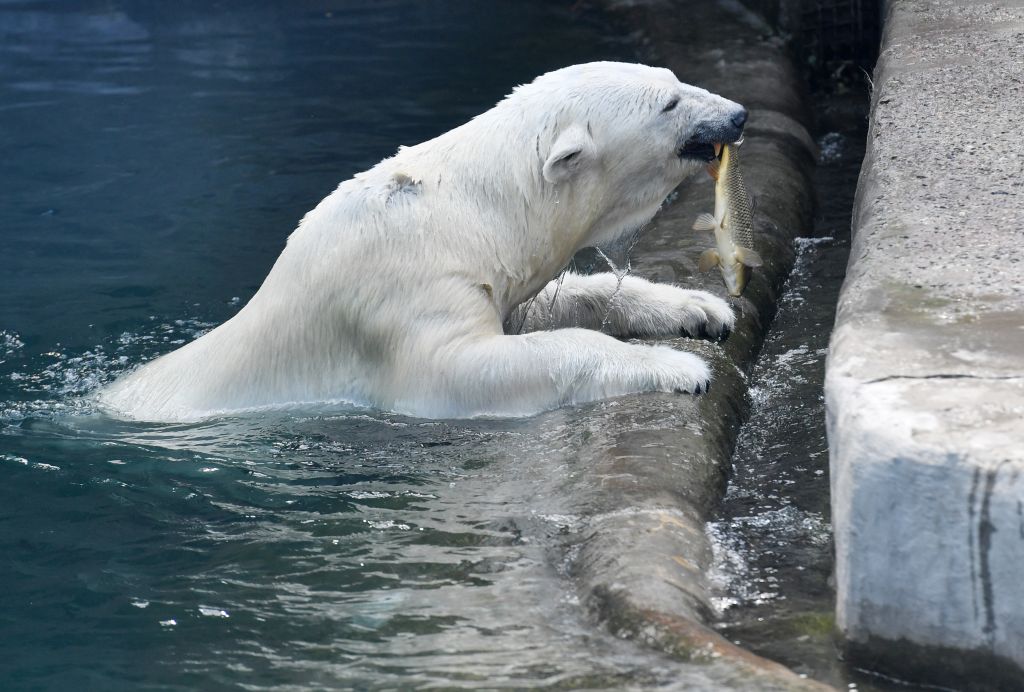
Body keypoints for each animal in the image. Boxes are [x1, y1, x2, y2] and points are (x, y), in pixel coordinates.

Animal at [97, 63, 745, 421]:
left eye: (672, 79)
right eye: (669, 103)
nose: (736, 114)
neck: (467, 209)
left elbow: (546, 305)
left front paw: (702, 309)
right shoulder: (403, 286)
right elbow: (458, 368)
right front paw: (678, 366)